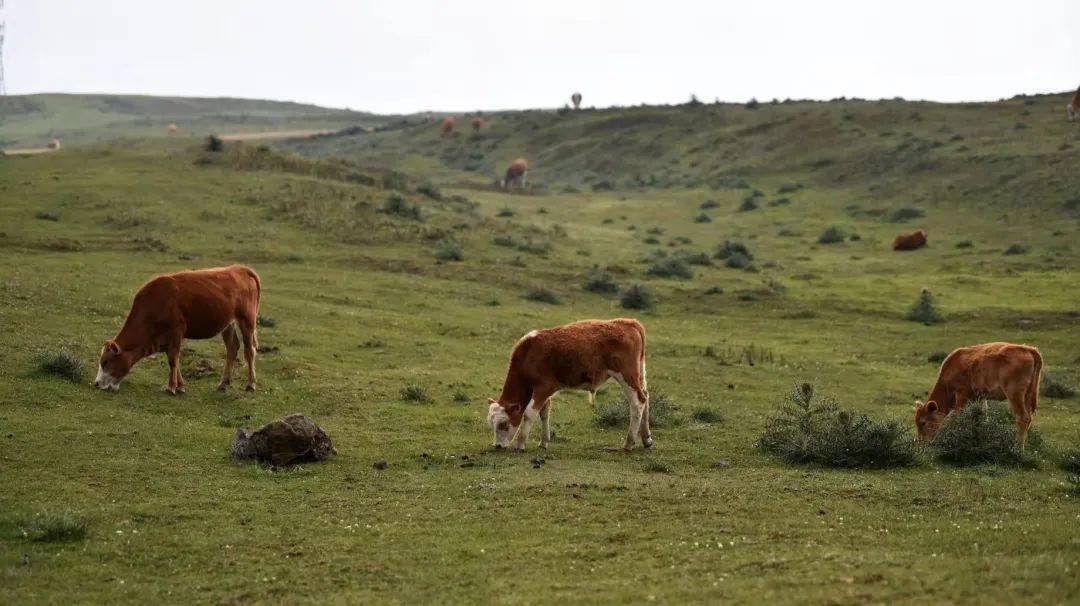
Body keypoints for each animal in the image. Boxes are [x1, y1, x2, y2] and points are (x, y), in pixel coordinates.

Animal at [96, 264, 262, 393]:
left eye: (105, 362)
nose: (96, 383)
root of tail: (241, 269)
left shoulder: (177, 330)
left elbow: (173, 359)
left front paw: (171, 387)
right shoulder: (164, 338)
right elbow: (174, 359)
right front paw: (180, 386)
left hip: (247, 320)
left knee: (249, 351)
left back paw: (251, 384)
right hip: (228, 324)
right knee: (232, 348)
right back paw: (223, 383)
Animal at [490, 317, 648, 449]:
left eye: (503, 424)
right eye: (492, 424)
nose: (497, 446)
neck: (528, 353)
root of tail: (627, 322)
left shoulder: (543, 388)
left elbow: (529, 413)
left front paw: (521, 444)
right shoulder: (544, 392)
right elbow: (544, 412)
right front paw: (543, 442)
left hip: (626, 375)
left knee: (638, 402)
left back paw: (629, 443)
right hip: (639, 373)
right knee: (646, 397)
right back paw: (647, 439)